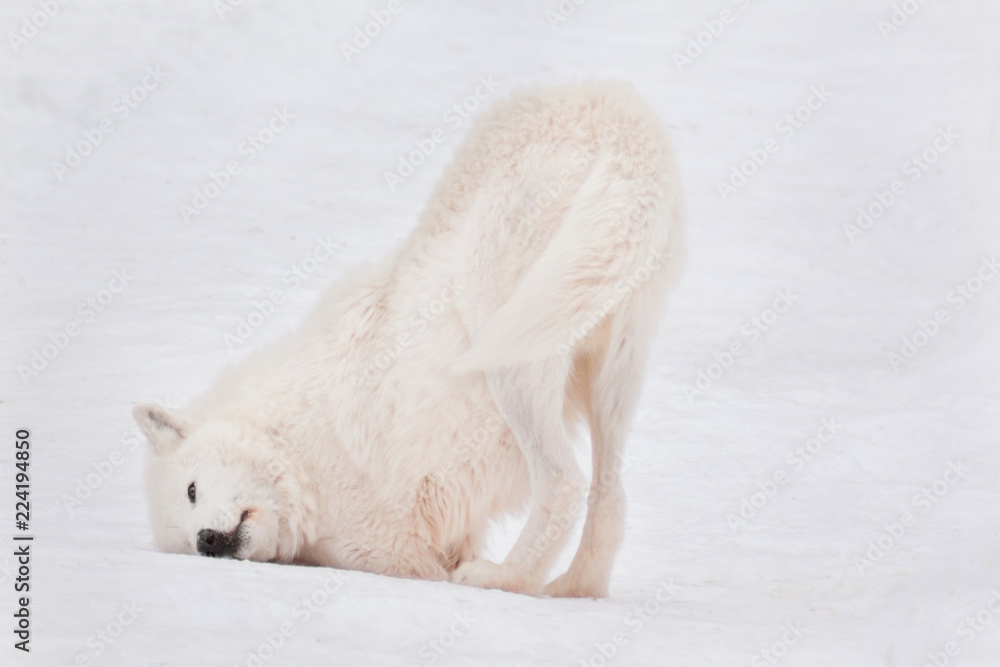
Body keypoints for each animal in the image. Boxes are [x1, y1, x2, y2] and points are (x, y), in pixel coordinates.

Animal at [136, 80, 685, 597]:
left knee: (564, 483)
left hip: (515, 361)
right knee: (609, 497)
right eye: (185, 536)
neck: (293, 449)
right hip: (612, 374)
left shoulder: (392, 541)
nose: (206, 541)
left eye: (191, 490)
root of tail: (608, 111)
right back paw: (574, 588)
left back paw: (503, 578)